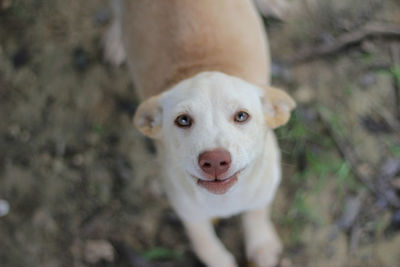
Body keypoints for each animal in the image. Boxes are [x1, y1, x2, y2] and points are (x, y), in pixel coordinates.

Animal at [103, 1, 296, 266]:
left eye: (242, 116)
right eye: (183, 120)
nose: (214, 161)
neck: (224, 200)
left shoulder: (266, 186)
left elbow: (257, 214)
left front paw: (263, 247)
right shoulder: (188, 213)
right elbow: (208, 248)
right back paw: (115, 40)